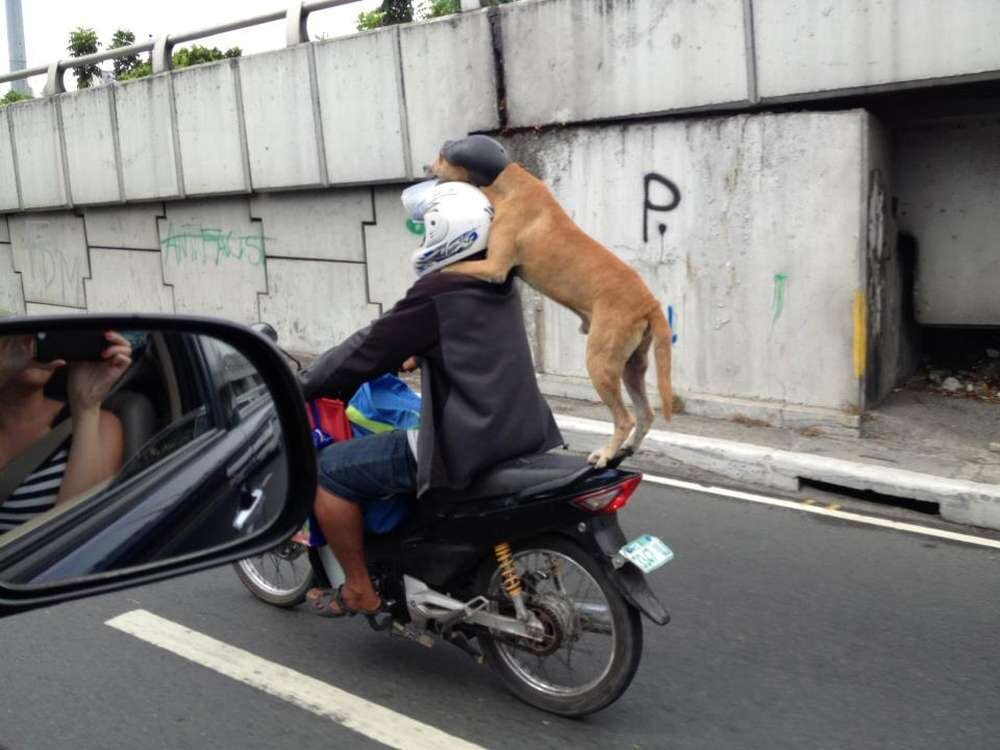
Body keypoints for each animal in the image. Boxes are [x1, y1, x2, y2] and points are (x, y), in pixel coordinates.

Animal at [426, 134, 668, 464]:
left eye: (442, 155)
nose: (424, 168)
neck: (506, 182)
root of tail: (649, 303)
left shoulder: (494, 267)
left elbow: (450, 267)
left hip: (600, 363)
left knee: (625, 418)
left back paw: (606, 453)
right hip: (631, 366)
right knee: (645, 413)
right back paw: (628, 448)